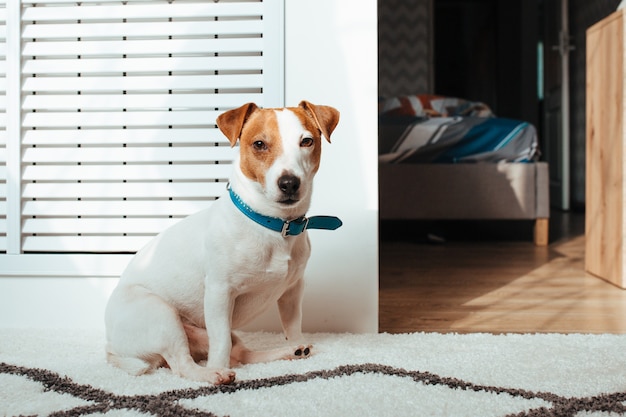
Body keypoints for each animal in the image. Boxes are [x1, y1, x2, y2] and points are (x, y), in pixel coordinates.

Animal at [106, 100, 342, 384]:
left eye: (306, 141)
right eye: (259, 144)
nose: (289, 183)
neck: (273, 225)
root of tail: (110, 347)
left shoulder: (292, 292)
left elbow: (293, 326)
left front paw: (298, 345)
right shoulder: (220, 294)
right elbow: (221, 345)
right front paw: (217, 369)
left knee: (242, 354)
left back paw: (290, 352)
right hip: (162, 316)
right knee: (183, 364)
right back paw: (213, 373)